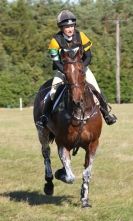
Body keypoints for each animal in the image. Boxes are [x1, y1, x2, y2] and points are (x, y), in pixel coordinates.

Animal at [33, 44, 102, 207]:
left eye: (81, 71)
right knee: (46, 153)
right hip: (42, 132)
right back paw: (49, 183)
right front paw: (60, 173)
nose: (77, 100)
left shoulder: (93, 144)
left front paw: (84, 199)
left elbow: (87, 172)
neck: (80, 113)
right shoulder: (63, 144)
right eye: (65, 73)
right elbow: (70, 176)